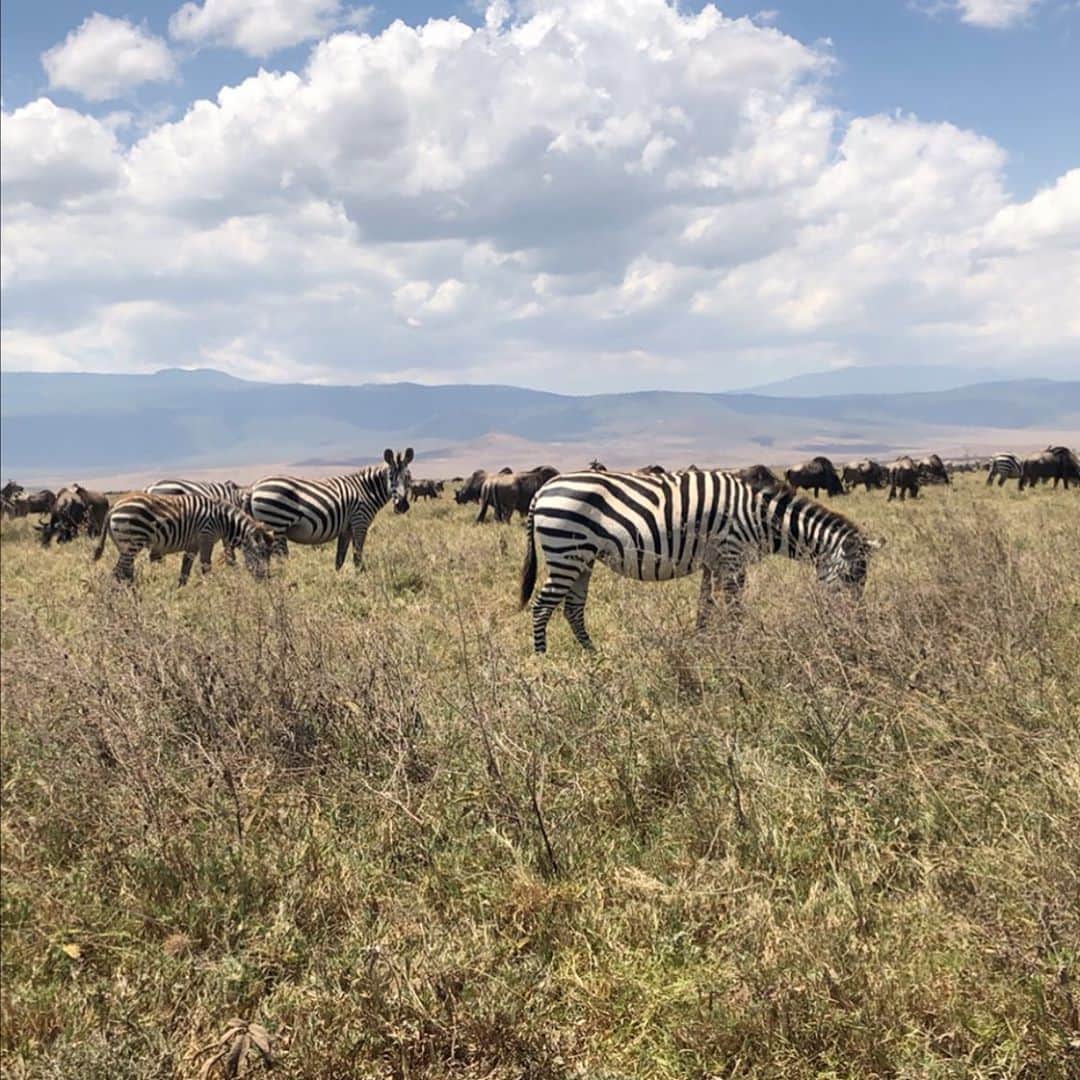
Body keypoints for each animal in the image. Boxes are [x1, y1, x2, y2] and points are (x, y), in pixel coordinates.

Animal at [93, 493, 274, 585]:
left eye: (269, 556)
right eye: (261, 554)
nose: (266, 581)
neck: (224, 520)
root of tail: (114, 508)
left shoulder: (193, 544)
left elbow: (185, 571)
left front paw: (180, 592)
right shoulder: (206, 536)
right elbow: (206, 567)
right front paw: (212, 589)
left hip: (124, 545)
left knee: (125, 573)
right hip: (132, 541)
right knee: (117, 573)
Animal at [249, 448, 414, 570]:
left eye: (408, 477)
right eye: (391, 478)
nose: (402, 506)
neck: (366, 490)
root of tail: (254, 487)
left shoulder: (346, 528)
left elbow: (340, 557)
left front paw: (339, 579)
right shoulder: (360, 521)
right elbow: (357, 554)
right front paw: (361, 576)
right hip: (277, 524)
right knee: (280, 558)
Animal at [519, 469, 884, 653]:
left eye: (862, 581)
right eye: (852, 578)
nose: (857, 630)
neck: (761, 518)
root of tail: (544, 489)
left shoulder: (714, 561)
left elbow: (705, 606)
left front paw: (702, 643)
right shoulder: (733, 556)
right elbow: (734, 610)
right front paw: (736, 650)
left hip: (584, 558)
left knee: (572, 608)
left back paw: (593, 655)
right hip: (565, 552)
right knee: (542, 607)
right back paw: (542, 659)